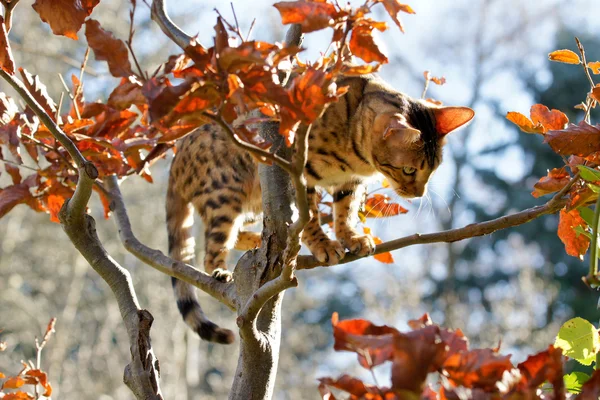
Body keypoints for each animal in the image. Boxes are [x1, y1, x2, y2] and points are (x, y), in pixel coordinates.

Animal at [165, 74, 474, 344]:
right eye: (409, 170)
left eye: (433, 169)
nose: (418, 193)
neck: (356, 154)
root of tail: (175, 160)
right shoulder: (298, 172)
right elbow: (311, 215)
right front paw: (323, 245)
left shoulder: (351, 182)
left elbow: (346, 211)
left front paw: (351, 238)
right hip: (226, 194)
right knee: (211, 247)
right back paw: (221, 271)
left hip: (255, 201)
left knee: (238, 232)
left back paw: (261, 241)